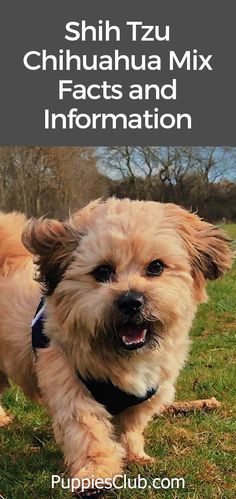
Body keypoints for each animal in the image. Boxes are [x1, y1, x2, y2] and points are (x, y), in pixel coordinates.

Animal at [0, 200, 232, 496]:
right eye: (102, 271)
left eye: (156, 267)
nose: (131, 301)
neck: (122, 356)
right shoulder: (70, 387)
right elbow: (89, 435)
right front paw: (96, 476)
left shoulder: (147, 394)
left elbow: (131, 427)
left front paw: (135, 454)